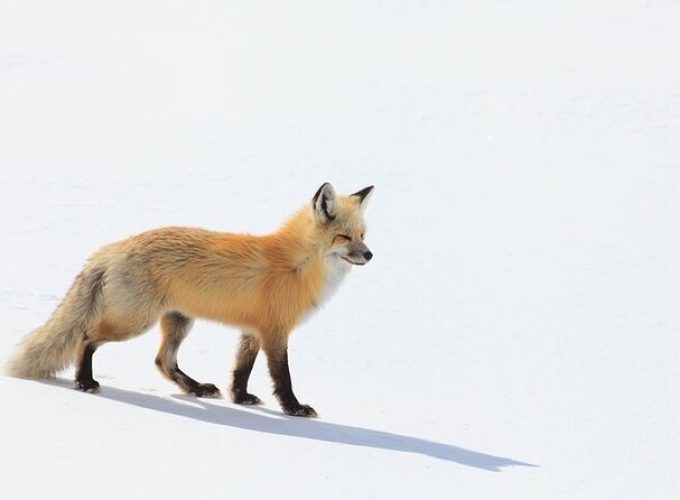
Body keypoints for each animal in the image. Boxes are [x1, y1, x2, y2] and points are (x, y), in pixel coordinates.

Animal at [5, 182, 374, 416]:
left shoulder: (253, 331)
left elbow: (241, 370)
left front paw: (240, 399)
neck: (296, 265)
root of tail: (113, 247)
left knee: (163, 362)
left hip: (179, 321)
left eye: (363, 234)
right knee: (86, 337)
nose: (369, 255)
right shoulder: (275, 331)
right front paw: (294, 409)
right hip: (134, 322)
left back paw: (197, 389)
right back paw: (84, 381)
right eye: (343, 237)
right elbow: (282, 376)